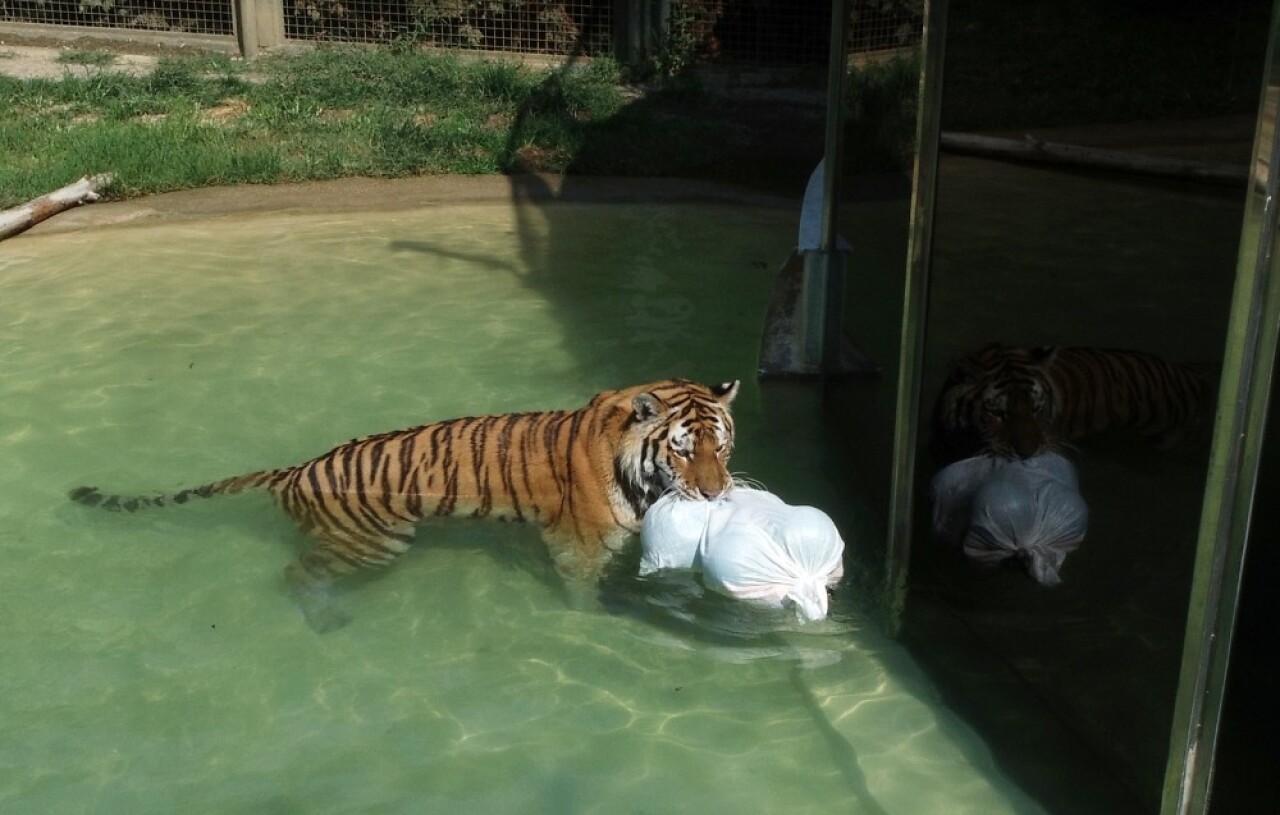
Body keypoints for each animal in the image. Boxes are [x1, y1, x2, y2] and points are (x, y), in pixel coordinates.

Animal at [70, 378, 747, 632]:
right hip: (377, 541)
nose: (718, 493)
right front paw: (592, 623)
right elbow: (583, 595)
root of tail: (296, 470)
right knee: (294, 571)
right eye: (684, 451)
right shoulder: (577, 549)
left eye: (722, 444)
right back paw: (326, 618)